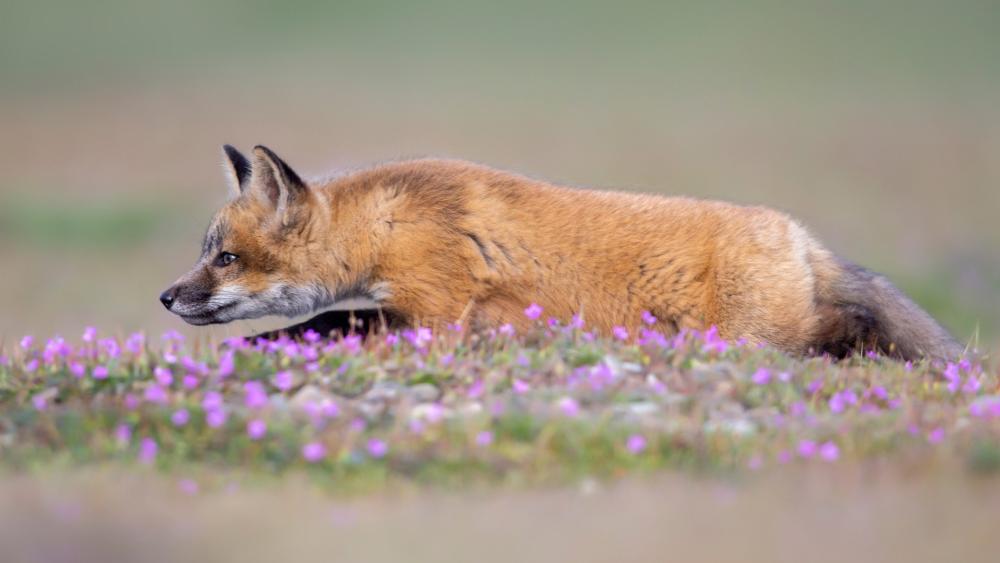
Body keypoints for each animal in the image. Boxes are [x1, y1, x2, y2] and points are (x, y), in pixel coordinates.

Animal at [160, 144, 964, 361]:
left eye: (225, 259)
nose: (167, 297)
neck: (388, 224)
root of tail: (798, 231)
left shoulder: (433, 315)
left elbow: (320, 322)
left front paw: (258, 348)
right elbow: (325, 320)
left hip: (750, 336)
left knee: (847, 334)